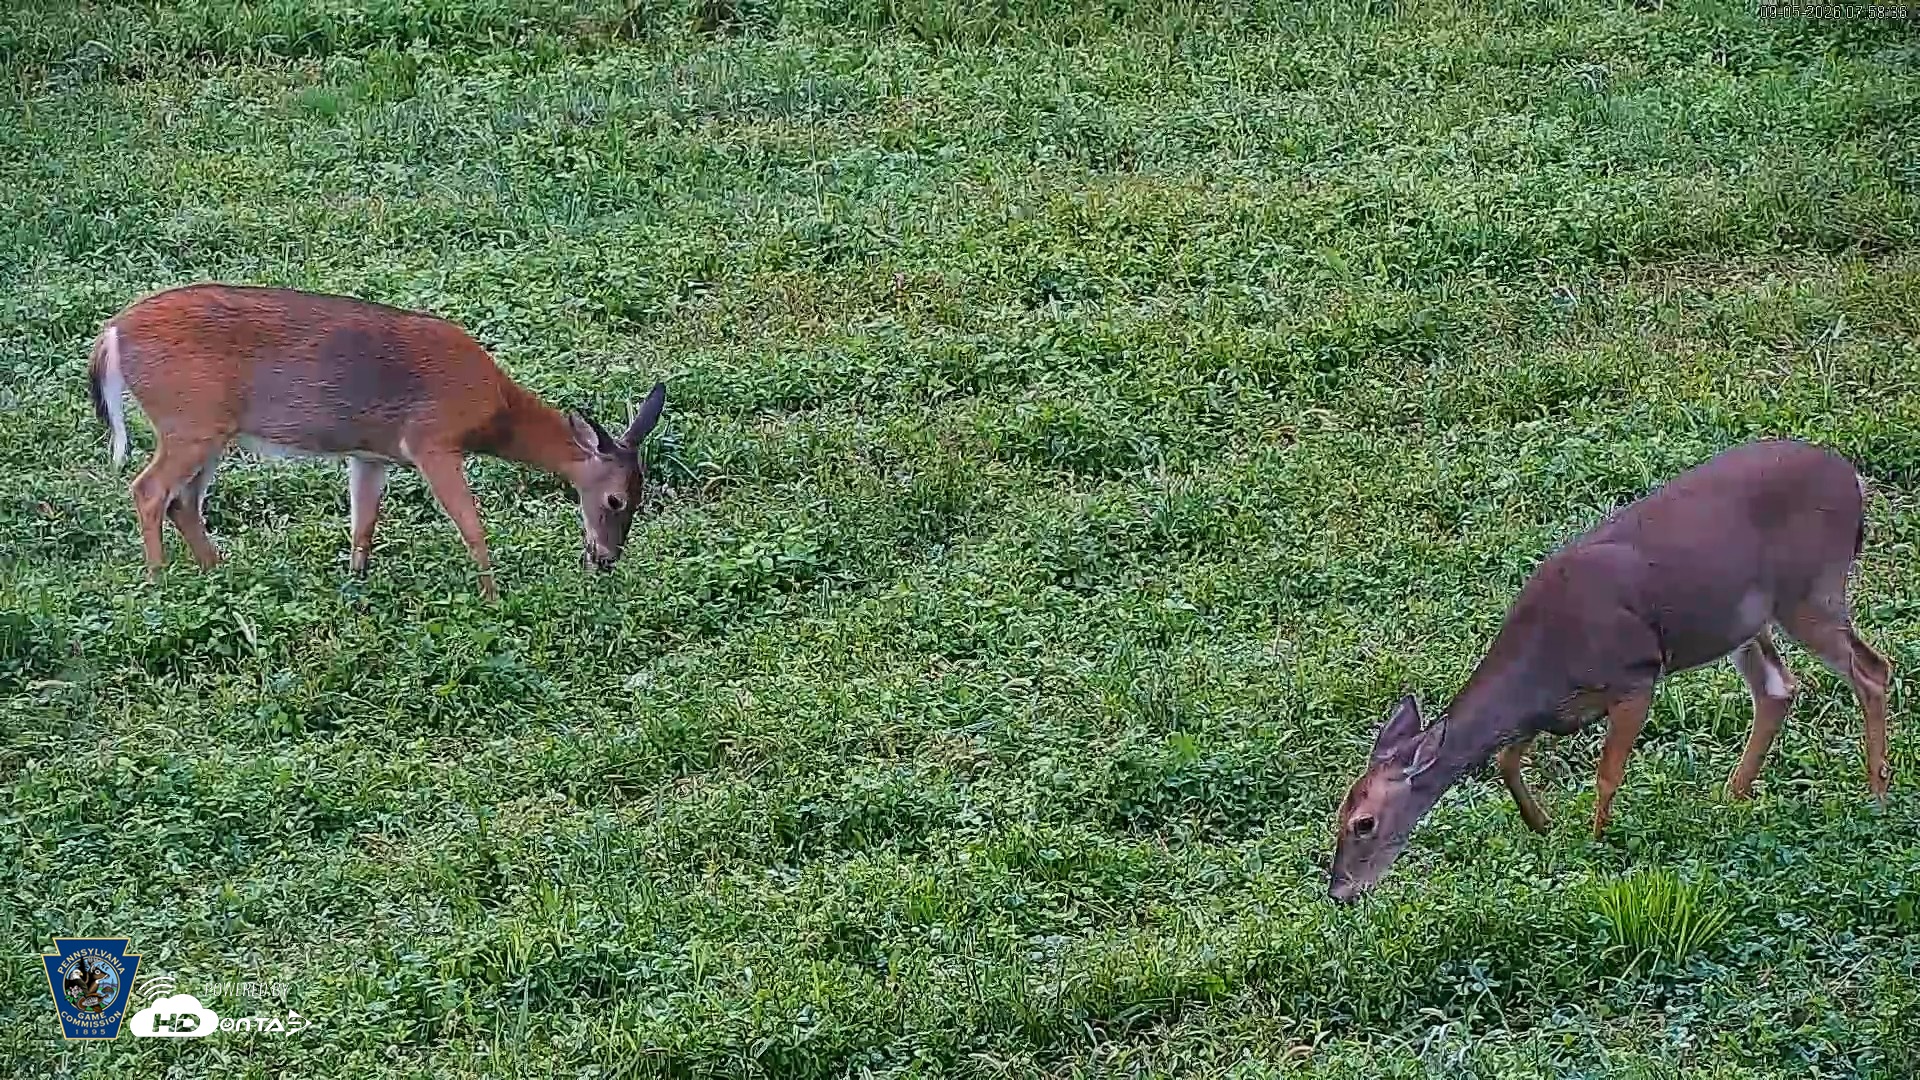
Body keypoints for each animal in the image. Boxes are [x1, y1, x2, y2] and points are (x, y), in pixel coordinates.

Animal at [88, 283, 668, 598]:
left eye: (639, 498)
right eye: (615, 500)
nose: (607, 558)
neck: (493, 410)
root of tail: (111, 334)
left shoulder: (371, 454)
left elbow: (363, 523)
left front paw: (356, 584)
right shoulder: (433, 441)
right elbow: (472, 524)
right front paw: (492, 595)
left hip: (209, 430)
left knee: (183, 500)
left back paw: (220, 574)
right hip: (188, 422)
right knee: (149, 490)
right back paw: (160, 581)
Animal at [1327, 438, 1892, 903]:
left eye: (1363, 823)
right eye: (1337, 813)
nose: (1339, 892)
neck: (1543, 667)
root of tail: (1854, 481)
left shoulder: (1634, 676)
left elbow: (1606, 773)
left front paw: (1595, 842)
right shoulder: (1556, 711)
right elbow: (1507, 759)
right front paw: (1543, 824)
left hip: (1810, 588)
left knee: (1872, 669)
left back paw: (1876, 792)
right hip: (1746, 622)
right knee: (1778, 688)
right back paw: (1730, 797)